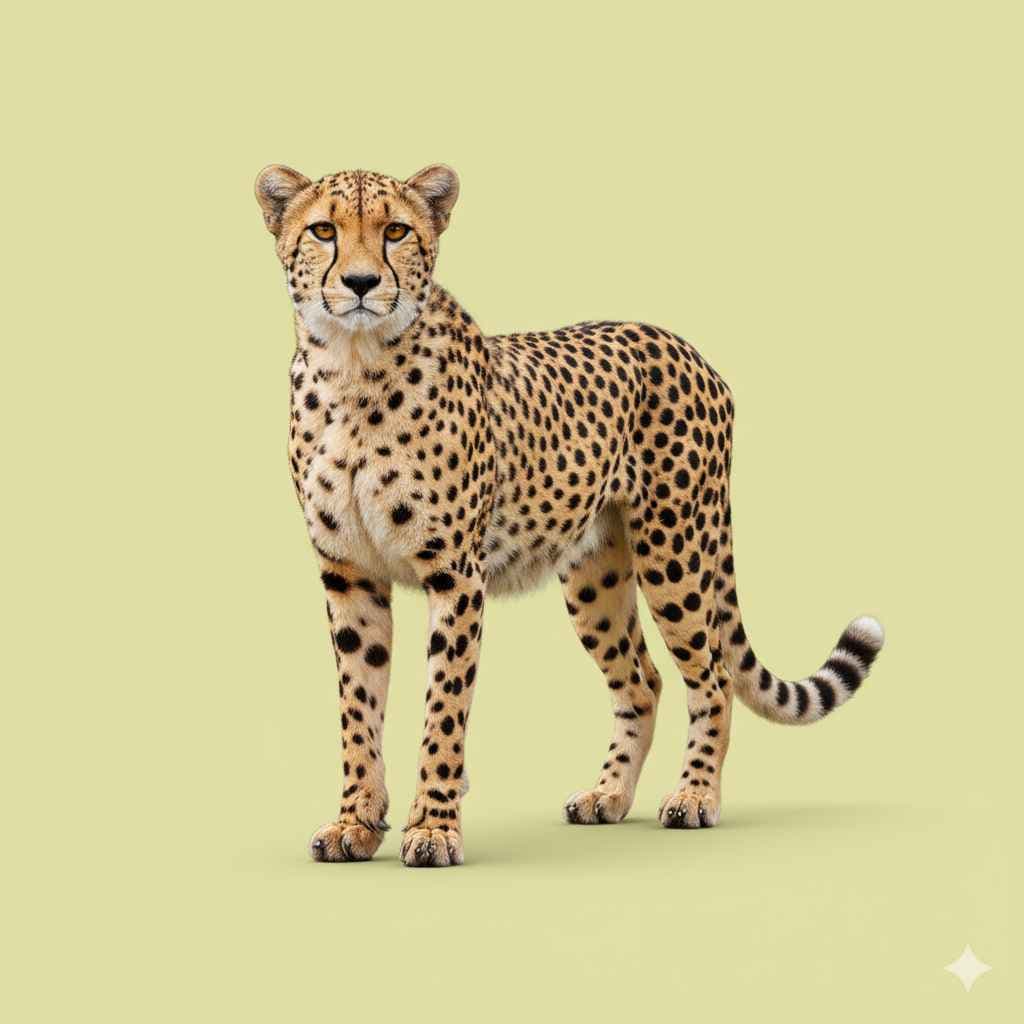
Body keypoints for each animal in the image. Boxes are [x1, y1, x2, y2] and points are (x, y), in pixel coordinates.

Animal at [254, 162, 885, 867]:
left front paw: (435, 826)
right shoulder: (349, 574)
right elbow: (358, 707)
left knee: (713, 675)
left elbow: (444, 709)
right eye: (323, 230)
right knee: (642, 680)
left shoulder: (456, 576)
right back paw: (607, 795)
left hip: (675, 552)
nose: (361, 283)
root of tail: (683, 345)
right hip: (594, 576)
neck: (353, 365)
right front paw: (356, 822)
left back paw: (694, 796)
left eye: (396, 231)